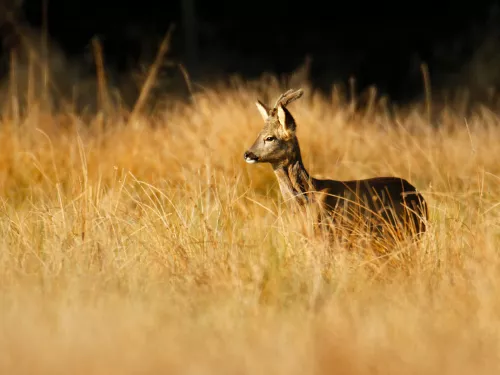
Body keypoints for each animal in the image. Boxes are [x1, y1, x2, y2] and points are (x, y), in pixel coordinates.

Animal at [244, 88, 428, 241]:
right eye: (258, 134)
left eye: (270, 137)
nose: (247, 154)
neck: (307, 197)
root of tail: (420, 197)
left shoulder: (329, 235)